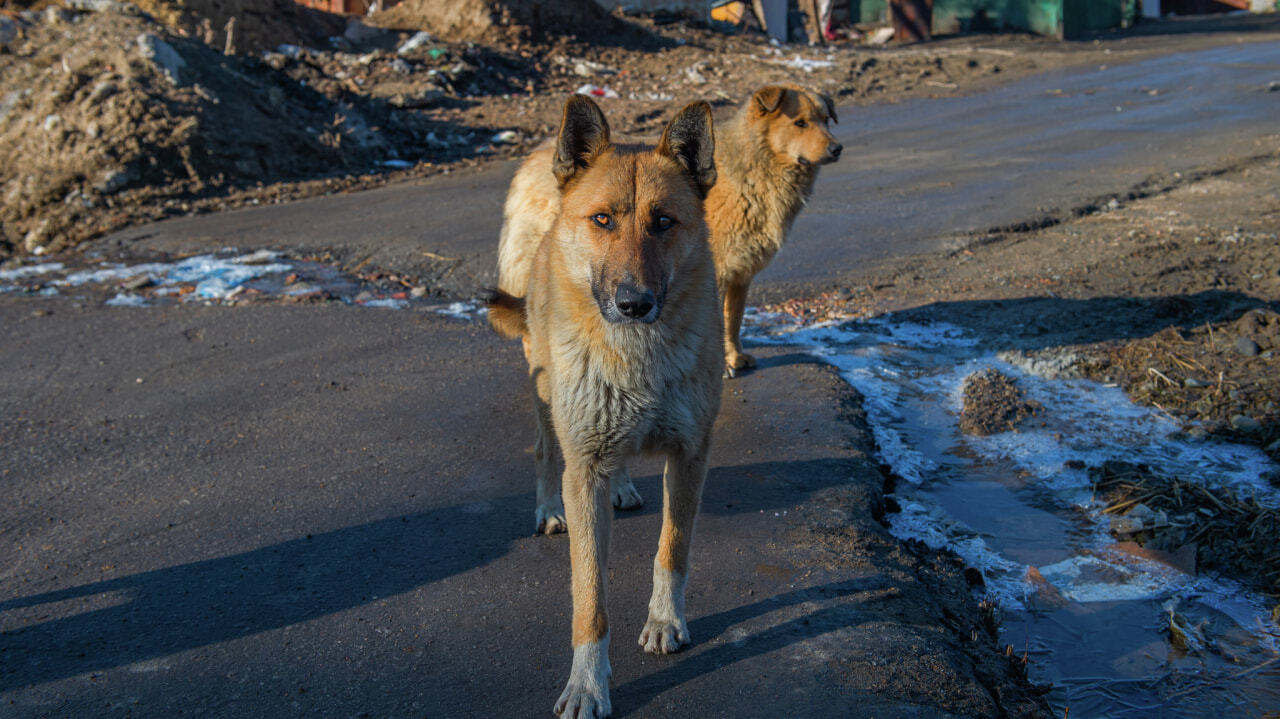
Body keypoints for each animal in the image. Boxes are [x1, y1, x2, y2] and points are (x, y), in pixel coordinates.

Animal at [483, 94, 721, 711]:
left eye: (663, 222)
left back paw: (625, 488)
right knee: (546, 452)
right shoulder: (584, 468)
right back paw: (548, 509)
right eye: (603, 220)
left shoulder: (690, 456)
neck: (636, 358)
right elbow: (589, 598)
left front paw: (665, 621)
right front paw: (587, 683)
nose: (634, 303)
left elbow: (672, 550)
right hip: (548, 402)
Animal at [711, 83, 839, 376]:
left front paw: (734, 357)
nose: (837, 148)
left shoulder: (741, 274)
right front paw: (722, 367)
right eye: (800, 123)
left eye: (826, 119)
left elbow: (733, 319)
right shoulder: (718, 271)